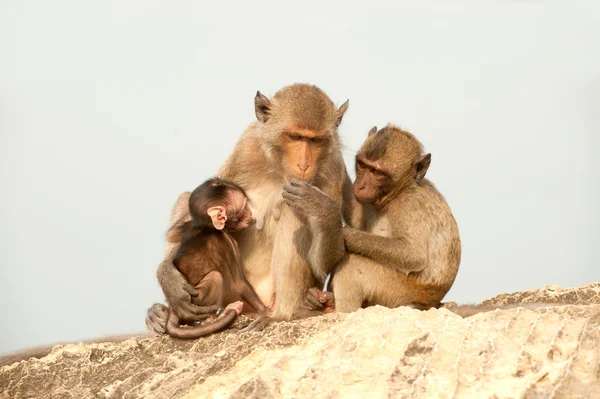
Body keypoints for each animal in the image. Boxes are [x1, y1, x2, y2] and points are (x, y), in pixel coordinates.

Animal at [164, 178, 268, 338]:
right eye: (244, 207)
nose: (250, 213)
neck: (208, 226)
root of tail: (174, 311)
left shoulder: (187, 226)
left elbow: (172, 234)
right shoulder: (225, 241)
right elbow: (239, 283)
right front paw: (267, 313)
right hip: (197, 300)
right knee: (215, 277)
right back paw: (215, 317)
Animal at [282, 125, 464, 316]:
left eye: (377, 172)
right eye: (362, 165)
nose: (361, 186)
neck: (398, 192)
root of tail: (427, 303)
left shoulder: (409, 204)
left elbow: (414, 254)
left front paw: (327, 214)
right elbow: (355, 215)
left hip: (400, 291)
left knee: (354, 263)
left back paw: (336, 310)